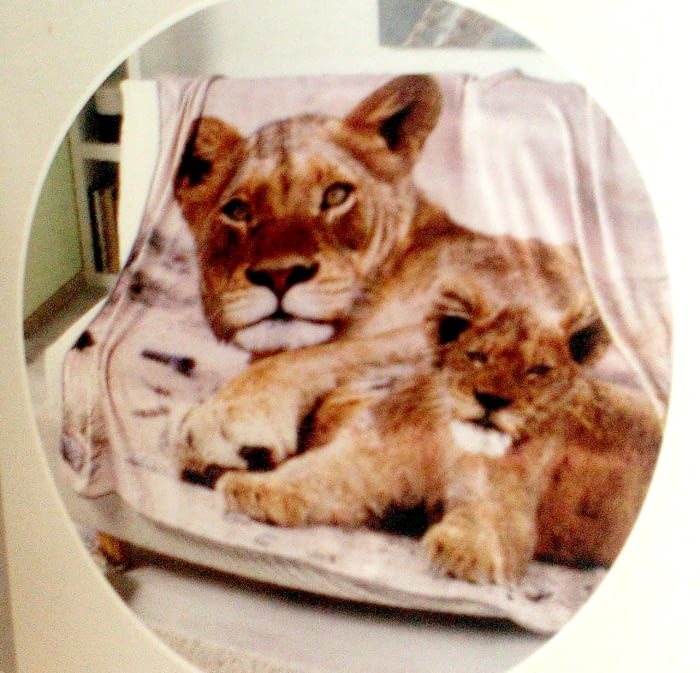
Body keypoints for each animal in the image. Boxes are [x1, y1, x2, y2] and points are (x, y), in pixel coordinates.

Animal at [218, 300, 662, 585]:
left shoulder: (507, 509)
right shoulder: (367, 458)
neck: (451, 441)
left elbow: (486, 523)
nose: (492, 400)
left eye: (537, 370)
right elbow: (315, 474)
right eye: (479, 356)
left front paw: (461, 549)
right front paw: (256, 488)